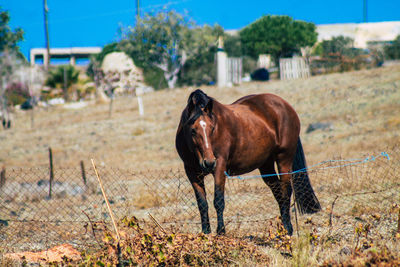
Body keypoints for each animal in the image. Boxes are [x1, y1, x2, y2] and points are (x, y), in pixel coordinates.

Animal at [176, 90, 322, 237]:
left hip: (284, 159)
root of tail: (286, 106)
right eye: (193, 130)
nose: (209, 162)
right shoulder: (192, 172)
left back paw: (287, 229)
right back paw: (283, 228)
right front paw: (205, 232)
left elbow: (218, 201)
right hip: (266, 165)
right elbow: (202, 203)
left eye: (212, 128)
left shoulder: (220, 167)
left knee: (286, 191)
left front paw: (221, 232)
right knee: (278, 192)